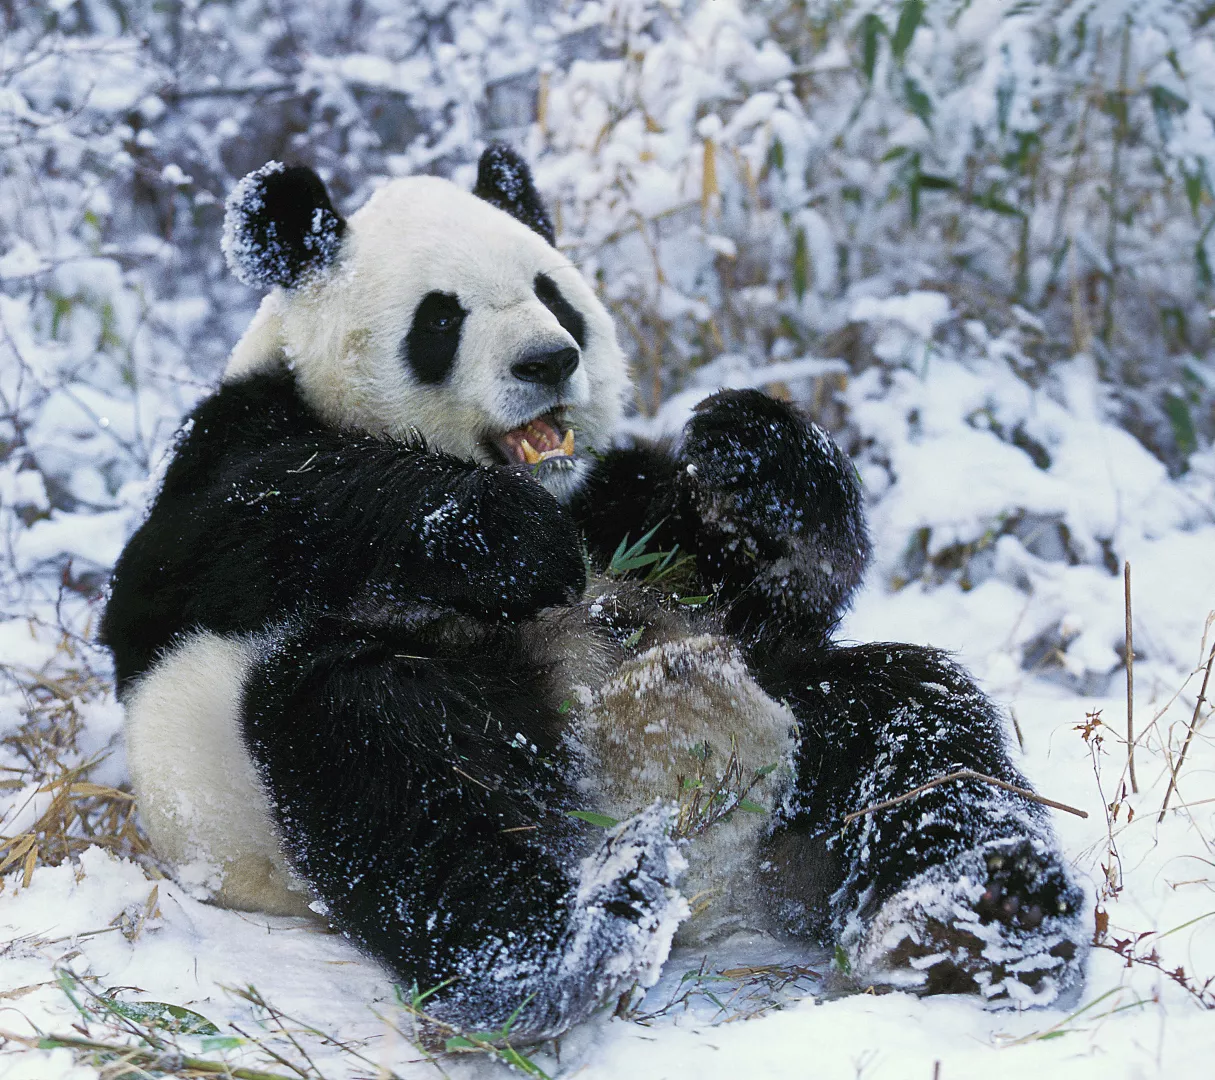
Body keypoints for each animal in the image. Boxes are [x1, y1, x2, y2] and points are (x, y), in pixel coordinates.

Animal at [101, 146, 1086, 1041]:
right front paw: (498, 537)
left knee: (916, 720)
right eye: (440, 317)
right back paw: (570, 951)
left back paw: (983, 915)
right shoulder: (228, 452)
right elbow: (236, 528)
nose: (548, 360)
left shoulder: (616, 500)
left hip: (806, 722)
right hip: (273, 777)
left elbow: (765, 587)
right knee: (390, 757)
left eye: (553, 292)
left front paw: (754, 455)